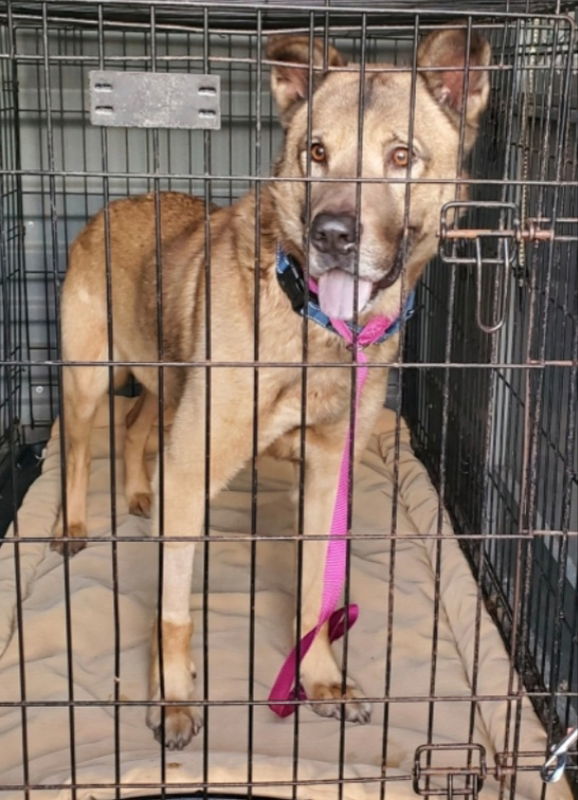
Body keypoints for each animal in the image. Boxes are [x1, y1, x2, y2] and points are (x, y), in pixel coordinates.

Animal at [54, 26, 488, 752]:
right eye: (316, 152)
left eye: (401, 156)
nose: (331, 236)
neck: (312, 324)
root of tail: (117, 202)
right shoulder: (193, 466)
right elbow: (173, 608)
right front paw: (173, 697)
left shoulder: (326, 475)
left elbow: (316, 591)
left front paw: (318, 678)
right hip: (88, 378)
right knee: (82, 445)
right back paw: (75, 522)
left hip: (166, 387)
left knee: (137, 427)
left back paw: (139, 493)